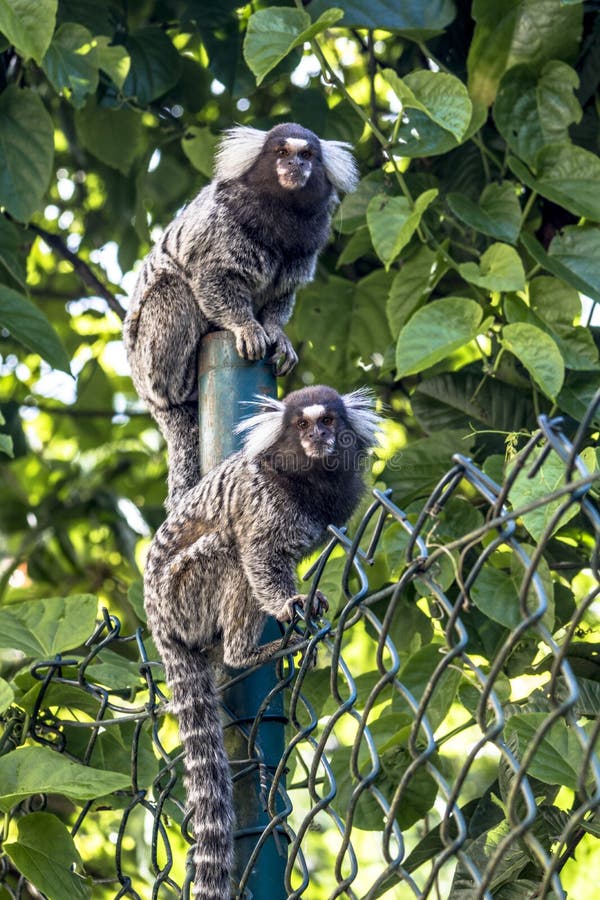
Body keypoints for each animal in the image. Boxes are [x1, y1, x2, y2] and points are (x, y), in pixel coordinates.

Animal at [122, 123, 356, 510]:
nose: (295, 165)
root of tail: (148, 397)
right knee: (174, 289)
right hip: (149, 359)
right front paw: (245, 326)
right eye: (281, 153)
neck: (281, 212)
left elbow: (280, 296)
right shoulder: (221, 227)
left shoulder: (305, 245)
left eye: (307, 155)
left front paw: (278, 335)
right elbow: (212, 279)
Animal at [143, 384, 380, 900]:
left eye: (329, 422)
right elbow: (258, 557)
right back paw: (248, 652)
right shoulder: (264, 503)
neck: (308, 479)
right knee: (229, 549)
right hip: (182, 593)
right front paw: (291, 605)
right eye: (302, 425)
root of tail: (158, 623)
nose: (318, 438)